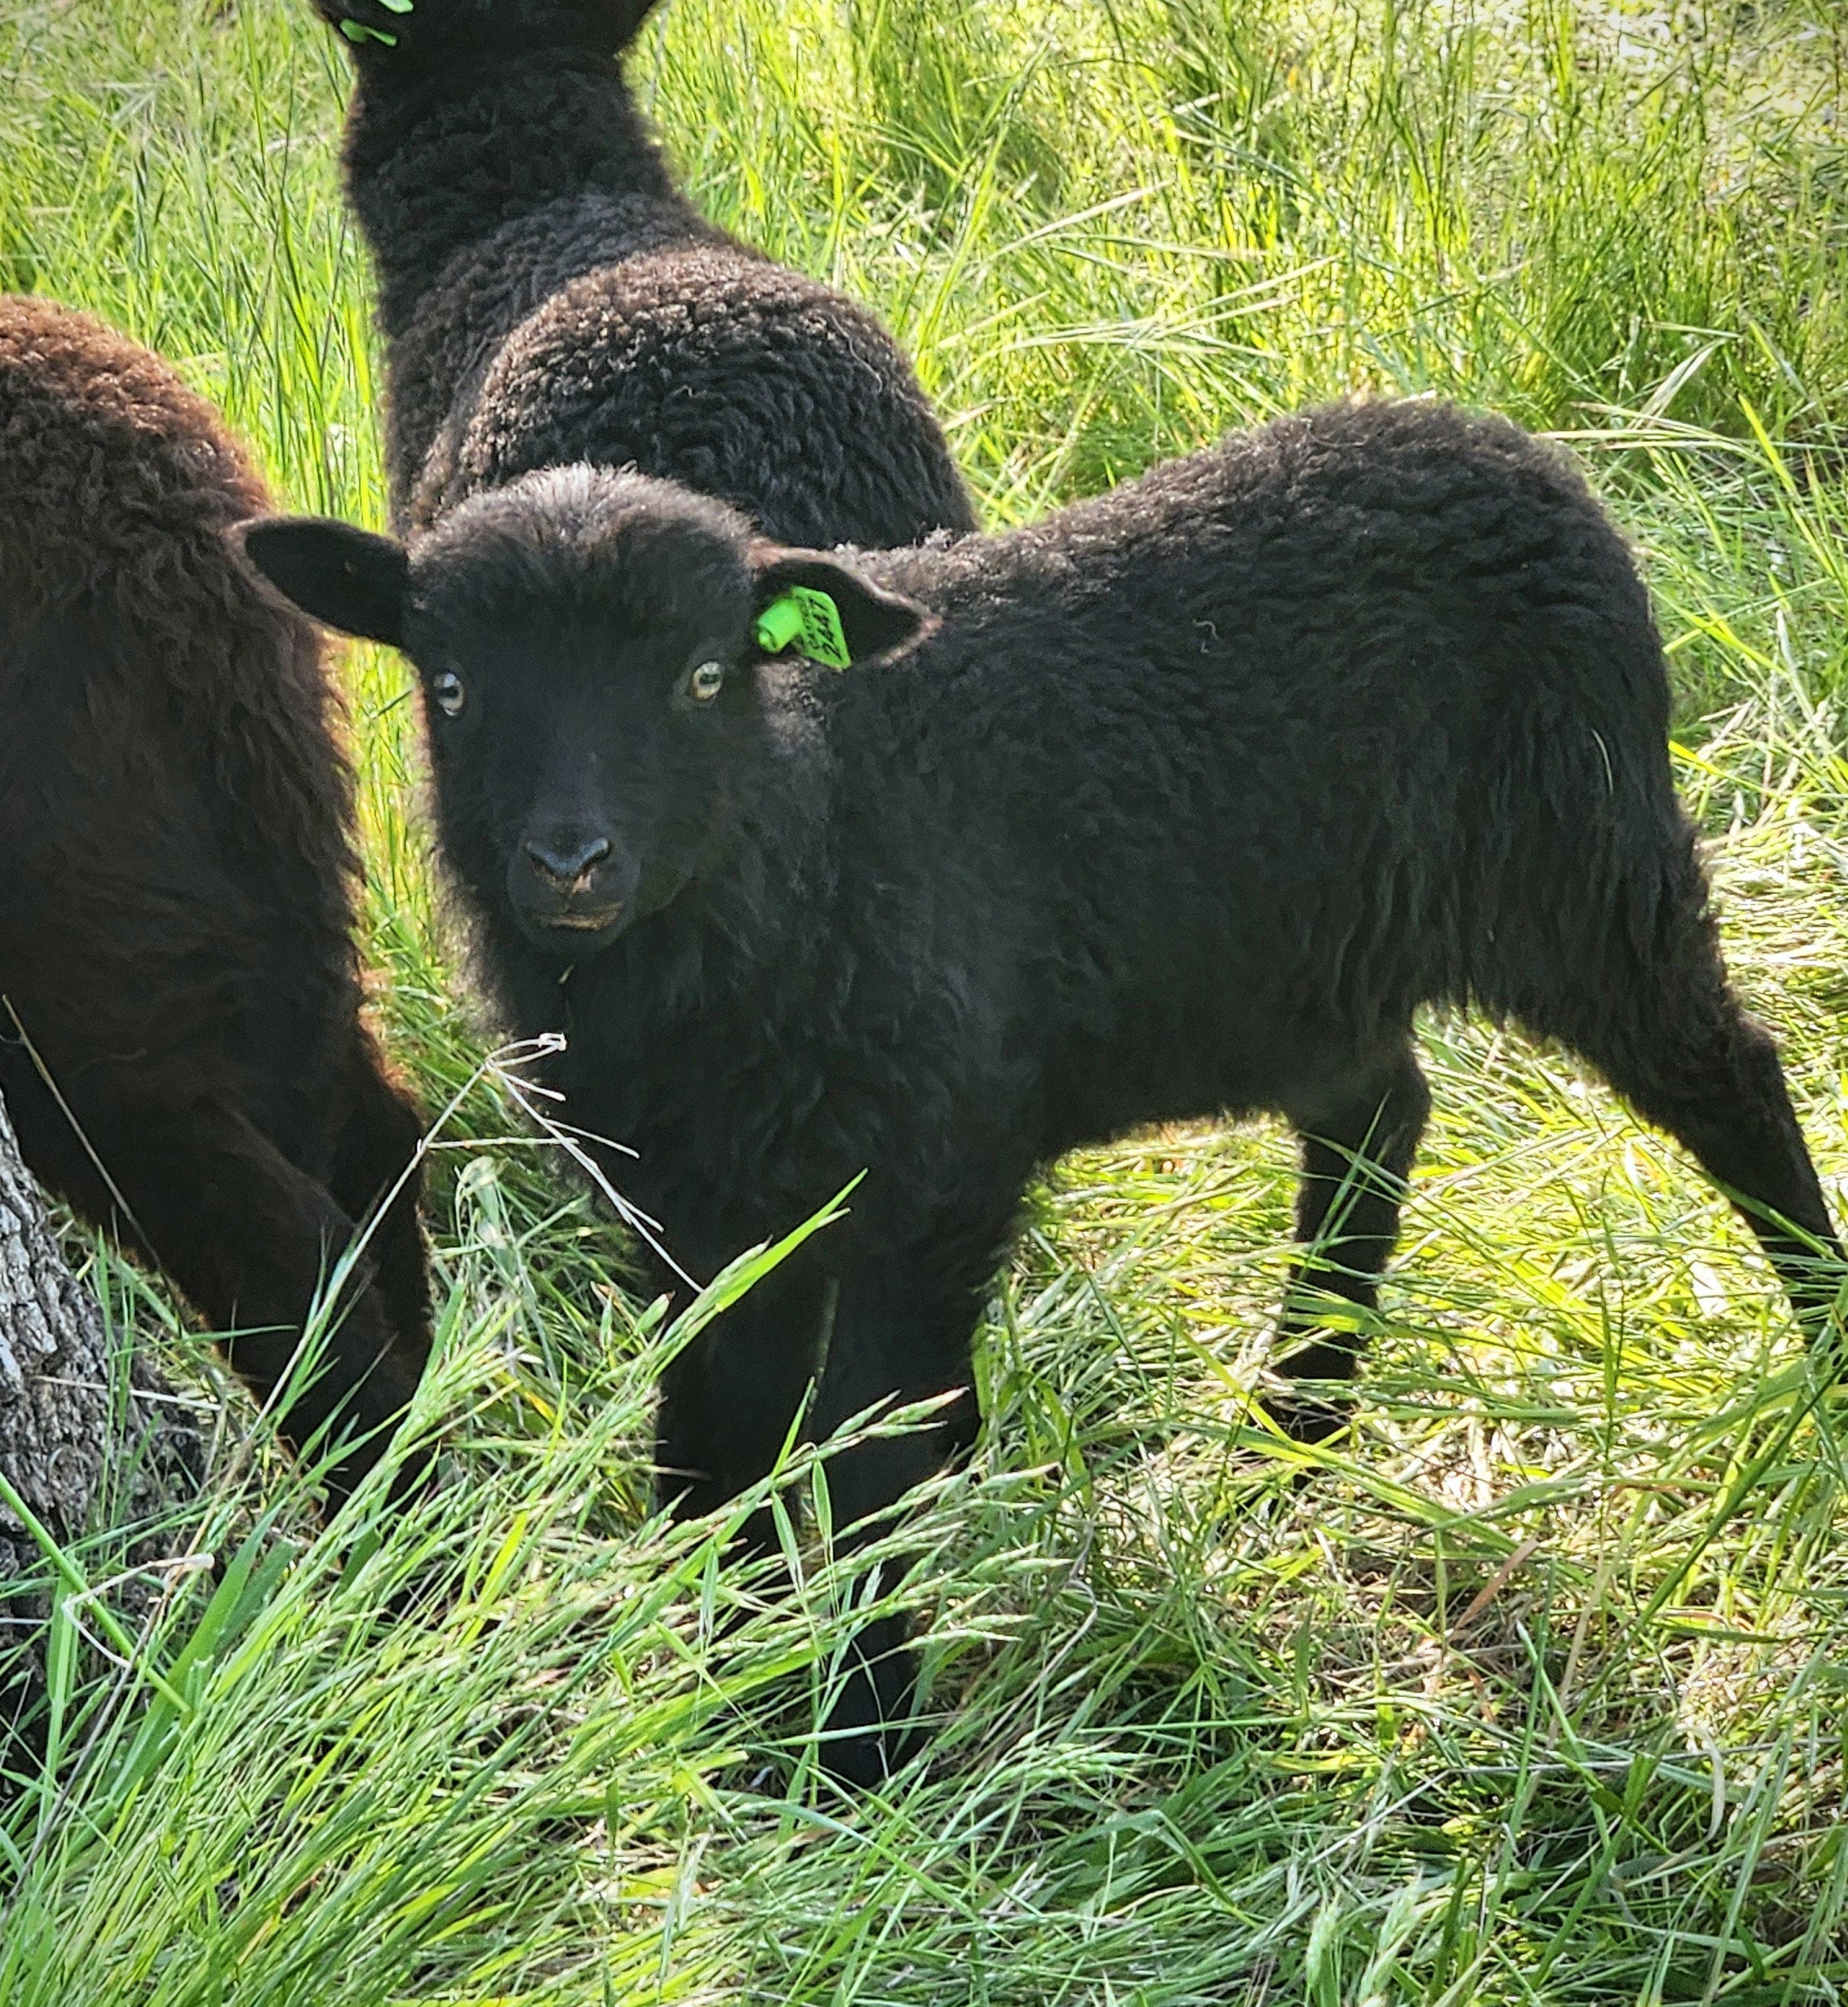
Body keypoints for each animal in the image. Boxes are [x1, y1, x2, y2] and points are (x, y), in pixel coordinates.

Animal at [237, 395, 1843, 1775]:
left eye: (703, 677)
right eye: (450, 687)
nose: (570, 864)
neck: (797, 840)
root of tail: (1505, 444)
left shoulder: (926, 1176)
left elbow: (865, 1459)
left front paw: (859, 1745)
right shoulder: (694, 1211)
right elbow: (716, 1448)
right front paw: (737, 1689)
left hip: (1585, 866)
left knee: (1730, 1084)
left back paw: (1818, 1335)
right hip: (1299, 956)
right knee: (1376, 1109)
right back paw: (1296, 1418)